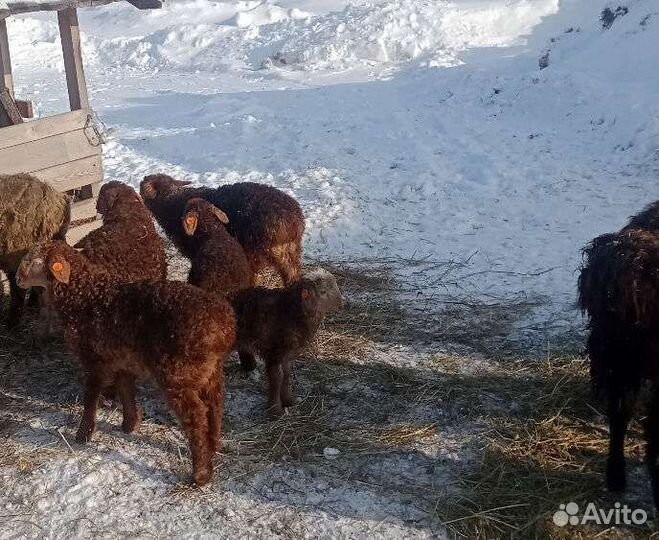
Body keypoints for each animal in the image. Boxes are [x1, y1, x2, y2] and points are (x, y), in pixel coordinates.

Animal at [17, 240, 236, 486]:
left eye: (35, 261)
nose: (17, 279)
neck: (84, 296)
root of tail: (224, 326)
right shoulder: (123, 359)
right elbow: (125, 388)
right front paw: (130, 425)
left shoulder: (94, 358)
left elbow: (91, 398)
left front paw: (83, 435)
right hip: (209, 371)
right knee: (215, 405)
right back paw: (213, 447)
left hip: (177, 373)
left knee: (196, 416)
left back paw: (200, 474)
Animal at [231, 268, 343, 417]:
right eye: (323, 292)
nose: (342, 304)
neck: (292, 312)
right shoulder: (274, 351)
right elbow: (277, 378)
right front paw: (275, 409)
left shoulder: (287, 353)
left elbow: (287, 374)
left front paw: (288, 400)